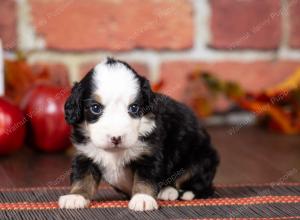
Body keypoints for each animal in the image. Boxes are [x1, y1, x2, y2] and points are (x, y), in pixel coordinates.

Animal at [58, 57, 219, 211]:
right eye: (95, 108)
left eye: (134, 108)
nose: (116, 138)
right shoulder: (85, 154)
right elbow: (83, 178)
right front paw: (76, 196)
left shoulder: (149, 154)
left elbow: (145, 179)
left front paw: (143, 199)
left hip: (201, 157)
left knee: (200, 184)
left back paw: (176, 192)